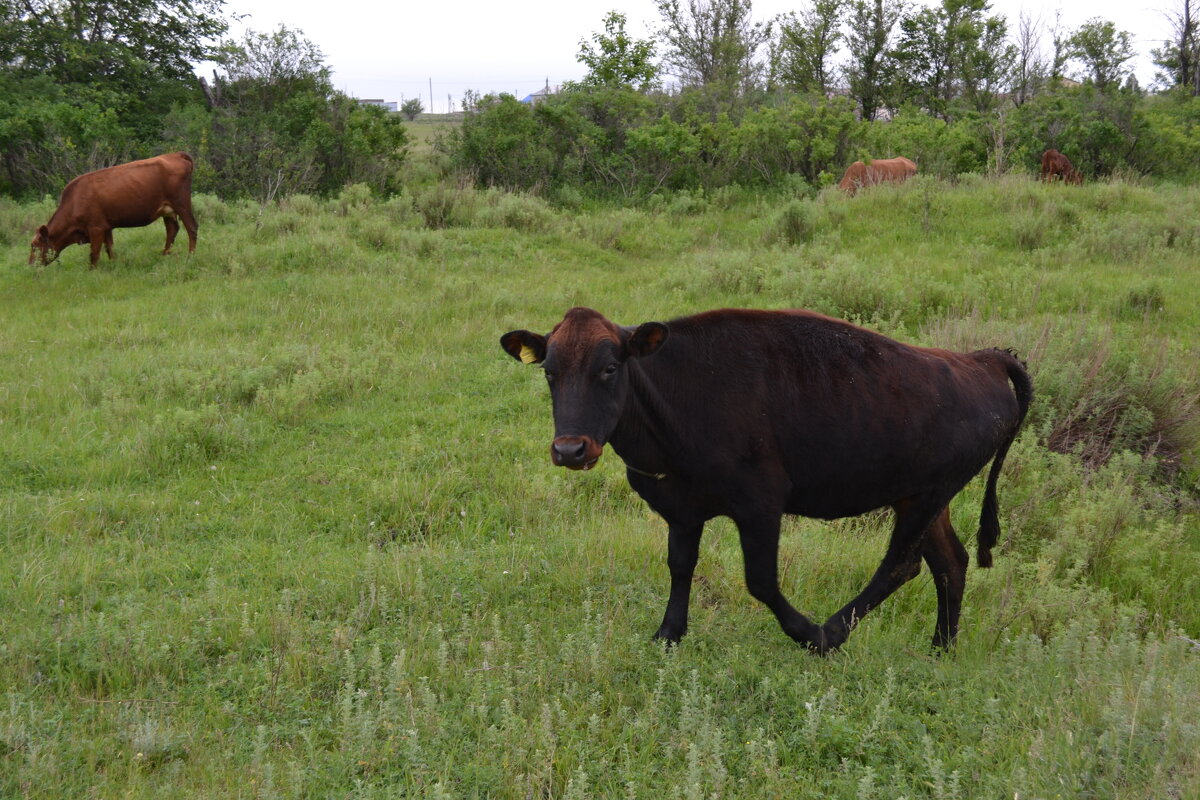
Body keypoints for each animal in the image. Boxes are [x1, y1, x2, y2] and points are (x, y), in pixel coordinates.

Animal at [29, 151, 199, 271]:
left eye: (35, 244)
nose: (30, 265)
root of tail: (175, 154)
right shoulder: (107, 227)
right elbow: (110, 249)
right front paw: (115, 266)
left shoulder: (96, 228)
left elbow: (94, 254)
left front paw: (91, 272)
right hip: (167, 210)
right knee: (172, 230)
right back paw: (164, 255)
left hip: (181, 203)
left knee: (191, 227)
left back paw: (190, 257)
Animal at [501, 309, 1036, 652]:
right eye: (549, 372)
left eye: (611, 368)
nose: (570, 449)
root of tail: (980, 360)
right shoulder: (681, 509)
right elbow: (680, 566)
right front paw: (668, 636)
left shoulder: (760, 505)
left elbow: (759, 580)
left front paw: (805, 632)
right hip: (921, 497)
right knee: (951, 563)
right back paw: (940, 649)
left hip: (926, 497)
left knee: (901, 566)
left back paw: (830, 634)